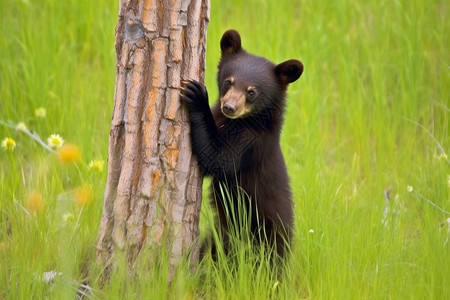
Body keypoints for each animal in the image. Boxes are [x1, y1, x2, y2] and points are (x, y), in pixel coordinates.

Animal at [181, 28, 304, 258]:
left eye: (251, 91)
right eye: (228, 81)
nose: (229, 107)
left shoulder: (251, 142)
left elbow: (218, 159)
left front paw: (197, 95)